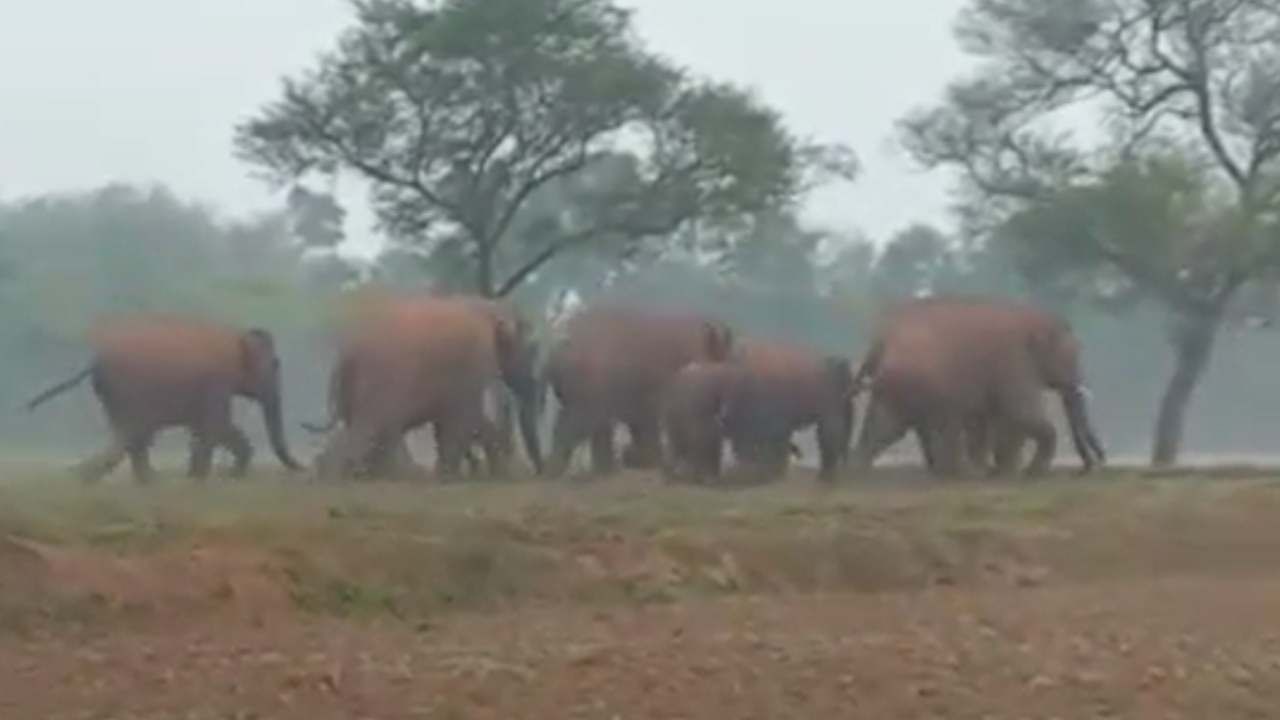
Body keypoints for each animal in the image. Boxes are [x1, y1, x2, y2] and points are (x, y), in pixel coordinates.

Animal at [26, 313, 305, 481]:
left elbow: (203, 428)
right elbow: (218, 426)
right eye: (275, 364)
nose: (305, 469)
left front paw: (203, 476)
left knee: (131, 438)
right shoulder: (217, 382)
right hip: (128, 393)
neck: (236, 336)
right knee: (130, 436)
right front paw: (210, 478)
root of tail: (95, 361)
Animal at [308, 292, 540, 481]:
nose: (538, 472)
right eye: (529, 348)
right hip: (378, 382)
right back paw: (358, 476)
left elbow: (453, 422)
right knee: (370, 431)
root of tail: (345, 354)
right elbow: (466, 417)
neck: (490, 307)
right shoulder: (473, 362)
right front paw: (449, 477)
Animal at [542, 303, 737, 476]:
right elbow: (651, 425)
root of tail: (556, 351)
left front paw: (639, 459)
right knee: (576, 423)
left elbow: (642, 426)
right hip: (588, 387)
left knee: (595, 426)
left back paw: (605, 470)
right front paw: (648, 461)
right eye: (728, 357)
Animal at [844, 297, 1105, 476]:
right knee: (937, 423)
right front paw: (1031, 473)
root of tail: (880, 341)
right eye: (1071, 357)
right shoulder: (1014, 361)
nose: (1090, 466)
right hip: (924, 381)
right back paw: (963, 473)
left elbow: (996, 418)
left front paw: (1005, 471)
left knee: (887, 424)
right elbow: (1021, 412)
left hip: (899, 384)